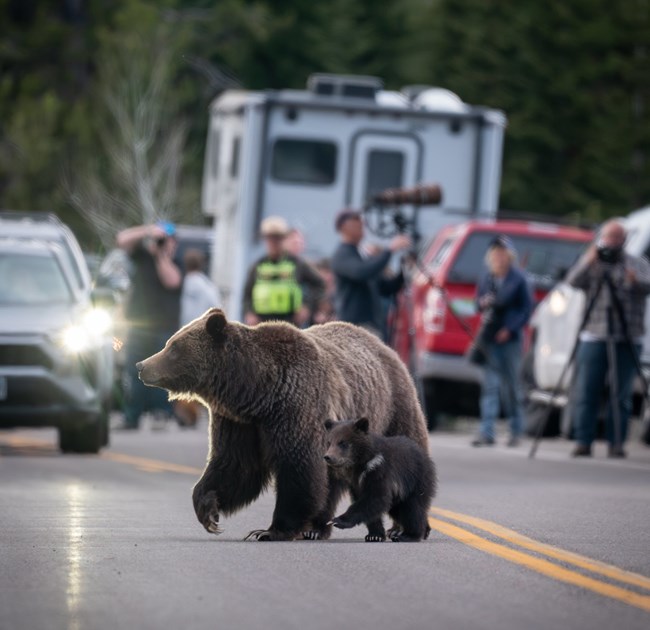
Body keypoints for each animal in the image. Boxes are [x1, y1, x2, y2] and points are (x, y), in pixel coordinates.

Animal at [136, 310, 428, 544]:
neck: (257, 391)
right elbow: (234, 465)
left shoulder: (296, 409)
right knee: (332, 480)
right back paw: (317, 528)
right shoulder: (240, 423)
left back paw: (406, 528)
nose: (142, 365)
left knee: (407, 458)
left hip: (390, 411)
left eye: (173, 347)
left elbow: (299, 469)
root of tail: (384, 346)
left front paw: (270, 530)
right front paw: (208, 510)